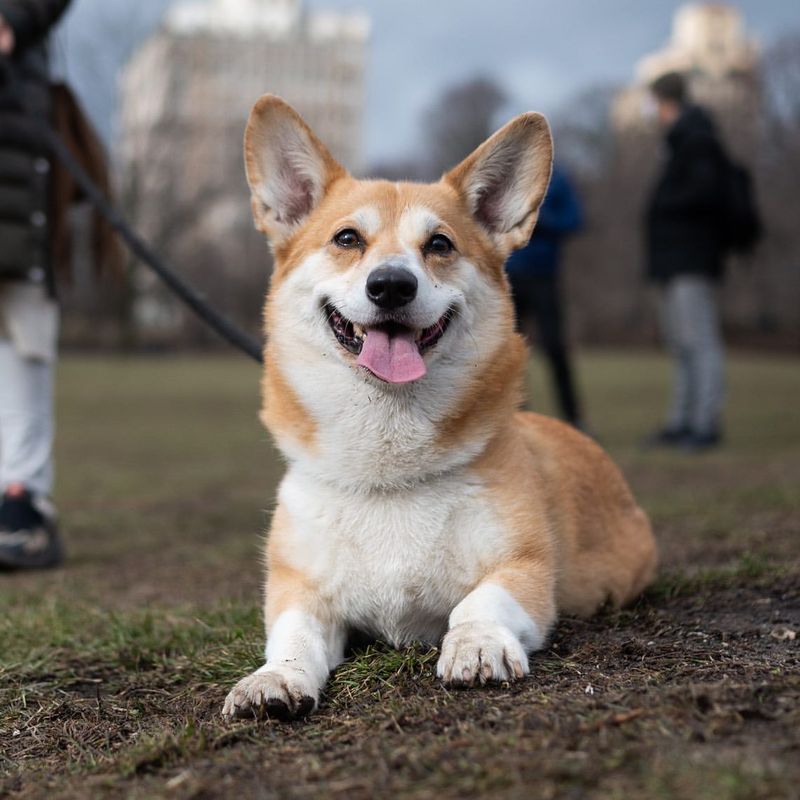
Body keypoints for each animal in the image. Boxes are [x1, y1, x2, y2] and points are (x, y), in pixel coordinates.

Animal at [220, 97, 656, 720]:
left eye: (440, 245)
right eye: (348, 238)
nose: (391, 285)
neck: (388, 467)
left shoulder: (523, 571)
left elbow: (478, 603)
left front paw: (476, 646)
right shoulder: (297, 590)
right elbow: (293, 635)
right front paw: (274, 679)